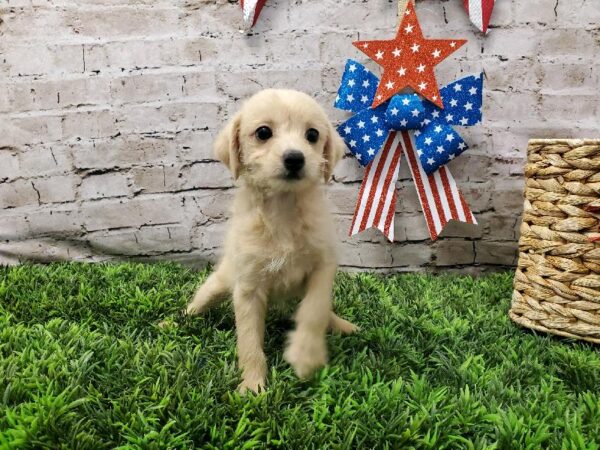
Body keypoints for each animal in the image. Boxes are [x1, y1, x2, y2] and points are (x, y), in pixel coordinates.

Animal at [185, 89, 358, 394]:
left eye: (312, 134)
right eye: (263, 132)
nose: (295, 159)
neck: (283, 210)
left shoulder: (323, 266)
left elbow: (315, 310)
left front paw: (305, 356)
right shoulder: (248, 288)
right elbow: (249, 340)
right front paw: (253, 384)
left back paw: (341, 325)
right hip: (220, 282)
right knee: (199, 301)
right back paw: (174, 320)